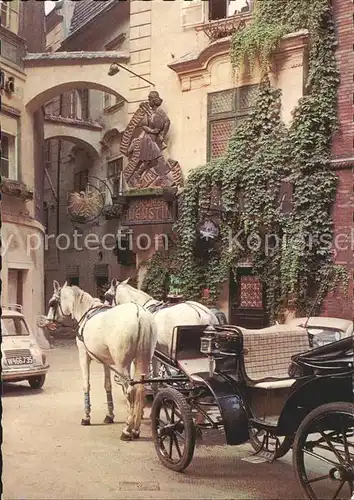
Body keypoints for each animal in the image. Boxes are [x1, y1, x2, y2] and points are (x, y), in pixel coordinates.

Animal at [45, 282, 158, 442]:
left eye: (52, 303)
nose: (49, 323)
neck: (86, 313)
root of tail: (139, 314)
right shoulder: (106, 362)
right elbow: (107, 385)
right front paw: (109, 415)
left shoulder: (83, 355)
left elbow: (86, 385)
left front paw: (86, 417)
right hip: (142, 359)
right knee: (140, 388)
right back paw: (136, 429)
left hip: (122, 365)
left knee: (130, 391)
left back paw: (127, 429)